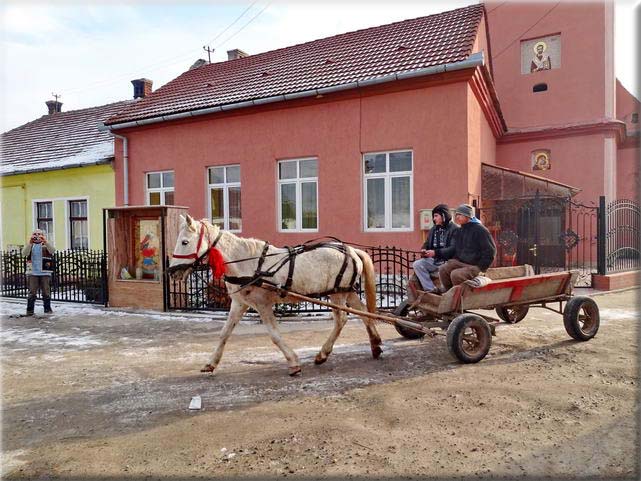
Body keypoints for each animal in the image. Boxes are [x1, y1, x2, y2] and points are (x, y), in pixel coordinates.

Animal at [168, 214, 382, 376]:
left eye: (185, 242)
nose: (171, 272)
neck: (249, 264)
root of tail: (351, 250)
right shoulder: (239, 303)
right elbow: (224, 333)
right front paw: (211, 363)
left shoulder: (262, 305)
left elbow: (274, 335)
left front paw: (293, 363)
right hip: (348, 292)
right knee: (365, 314)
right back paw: (375, 344)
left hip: (337, 294)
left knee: (342, 320)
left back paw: (323, 354)